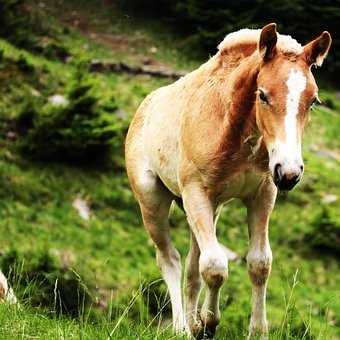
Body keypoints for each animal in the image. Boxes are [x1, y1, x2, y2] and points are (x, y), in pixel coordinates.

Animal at [123, 23, 330, 338]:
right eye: (263, 95)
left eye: (313, 101)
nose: (290, 172)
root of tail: (144, 108)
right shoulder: (196, 192)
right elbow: (215, 266)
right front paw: (208, 323)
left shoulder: (262, 194)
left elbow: (259, 263)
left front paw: (256, 331)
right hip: (153, 201)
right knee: (170, 259)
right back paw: (182, 327)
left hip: (210, 207)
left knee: (192, 267)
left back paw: (192, 323)